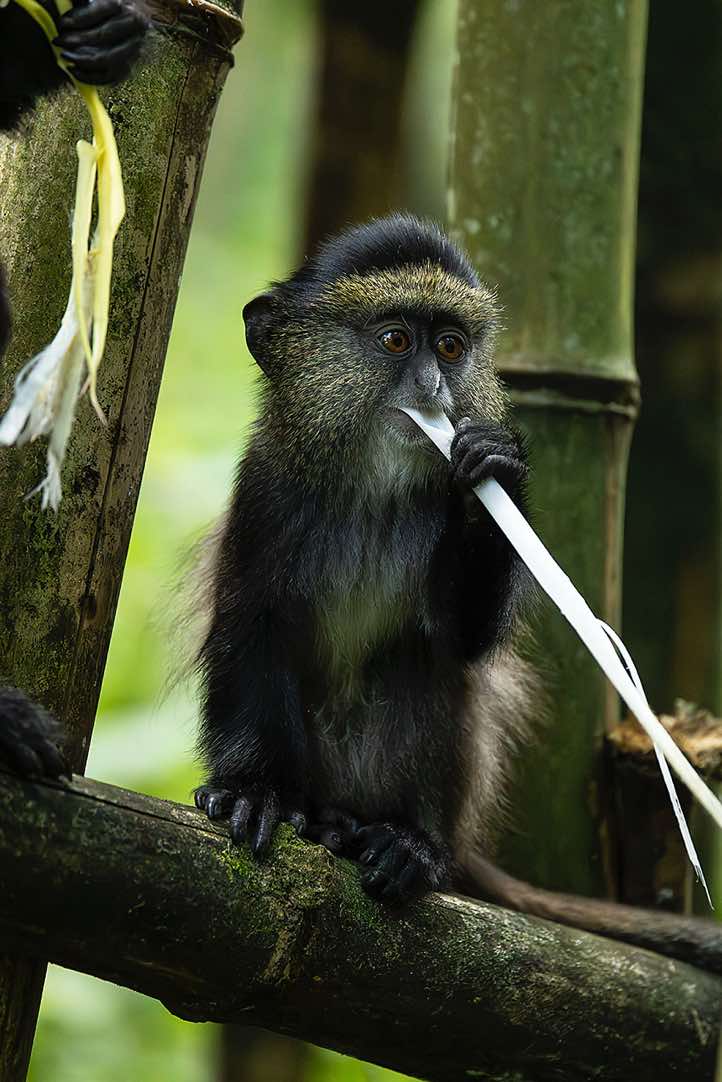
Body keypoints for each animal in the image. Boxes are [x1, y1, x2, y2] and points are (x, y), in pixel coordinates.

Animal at [193, 213, 722, 973]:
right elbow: (249, 629)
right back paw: (312, 818)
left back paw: (409, 845)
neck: (372, 491)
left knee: (426, 672)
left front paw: (488, 473)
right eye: (395, 340)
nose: (434, 393)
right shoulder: (265, 492)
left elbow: (461, 640)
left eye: (450, 346)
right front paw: (252, 794)